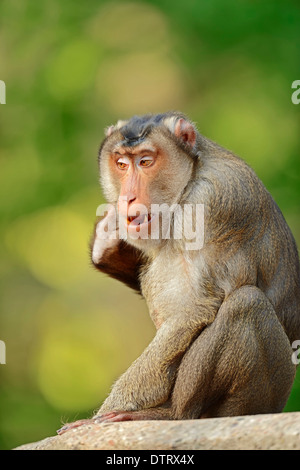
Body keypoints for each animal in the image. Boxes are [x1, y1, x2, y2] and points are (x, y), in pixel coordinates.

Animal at [56, 112, 300, 436]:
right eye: (121, 164)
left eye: (146, 161)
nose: (127, 198)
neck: (189, 179)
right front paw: (107, 241)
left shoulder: (211, 201)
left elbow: (191, 310)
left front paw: (100, 416)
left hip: (263, 396)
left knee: (246, 304)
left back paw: (173, 414)